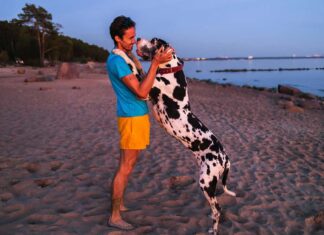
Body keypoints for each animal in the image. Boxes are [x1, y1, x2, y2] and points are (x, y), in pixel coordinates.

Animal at [112, 37, 237, 234]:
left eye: (154, 41)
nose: (137, 38)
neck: (170, 69)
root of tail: (226, 157)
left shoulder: (144, 90)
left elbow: (132, 66)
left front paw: (119, 52)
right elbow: (137, 65)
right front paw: (127, 53)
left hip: (205, 182)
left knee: (217, 209)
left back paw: (214, 230)